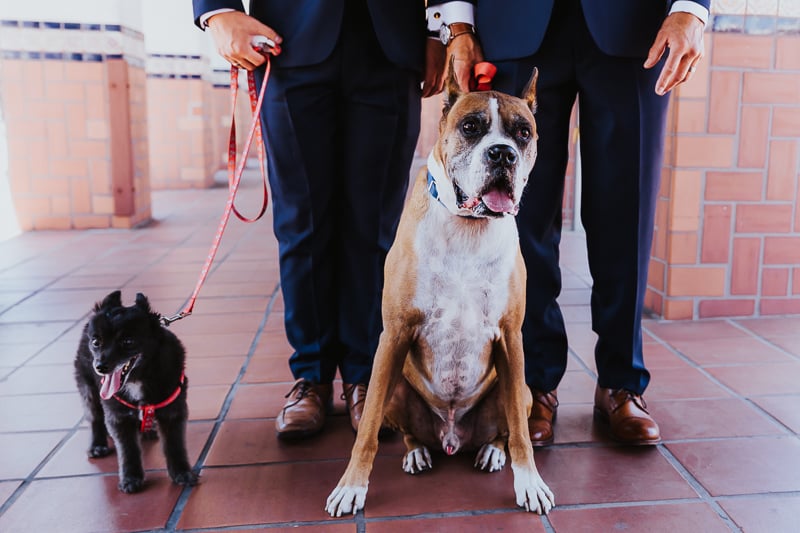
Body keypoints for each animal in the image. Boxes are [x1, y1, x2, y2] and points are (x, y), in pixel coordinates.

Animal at [73, 288, 198, 492]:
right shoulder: (118, 417)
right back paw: (98, 445)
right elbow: (128, 450)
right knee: (95, 417)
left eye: (128, 341)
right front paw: (131, 478)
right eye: (96, 342)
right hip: (88, 390)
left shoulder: (173, 412)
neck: (138, 378)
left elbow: (175, 445)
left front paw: (182, 473)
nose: (100, 367)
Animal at [324, 63, 552, 516]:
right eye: (471, 127)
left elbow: (520, 432)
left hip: (521, 389)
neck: (468, 226)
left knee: (505, 427)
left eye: (523, 133)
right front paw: (352, 486)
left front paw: (530, 482)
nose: (503, 154)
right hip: (394, 381)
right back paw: (417, 452)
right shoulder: (393, 336)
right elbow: (368, 428)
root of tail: (451, 437)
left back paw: (490, 451)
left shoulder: (511, 339)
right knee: (404, 429)